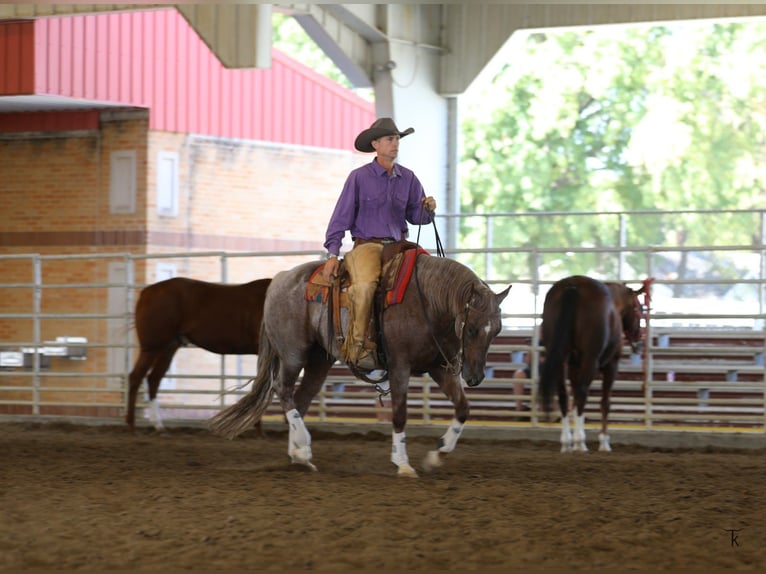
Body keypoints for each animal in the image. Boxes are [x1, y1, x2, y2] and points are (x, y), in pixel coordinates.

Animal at [126, 276, 272, 432]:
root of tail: (147, 291)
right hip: (151, 348)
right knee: (136, 377)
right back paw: (131, 425)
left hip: (168, 348)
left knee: (153, 379)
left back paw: (158, 425)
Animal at [208, 254, 510, 477]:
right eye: (472, 328)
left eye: (496, 330)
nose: (475, 377)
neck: (428, 302)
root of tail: (279, 279)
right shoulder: (400, 366)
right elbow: (399, 414)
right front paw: (402, 463)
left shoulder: (440, 368)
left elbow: (463, 408)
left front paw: (437, 455)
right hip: (293, 353)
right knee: (283, 390)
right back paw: (303, 449)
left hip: (319, 360)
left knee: (300, 400)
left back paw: (299, 456)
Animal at [538, 275, 647, 453]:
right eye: (639, 309)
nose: (639, 341)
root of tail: (573, 286)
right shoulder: (611, 365)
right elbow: (605, 403)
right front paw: (604, 442)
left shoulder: (574, 366)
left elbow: (574, 399)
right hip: (591, 360)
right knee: (583, 393)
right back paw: (579, 442)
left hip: (560, 358)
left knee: (563, 394)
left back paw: (566, 442)